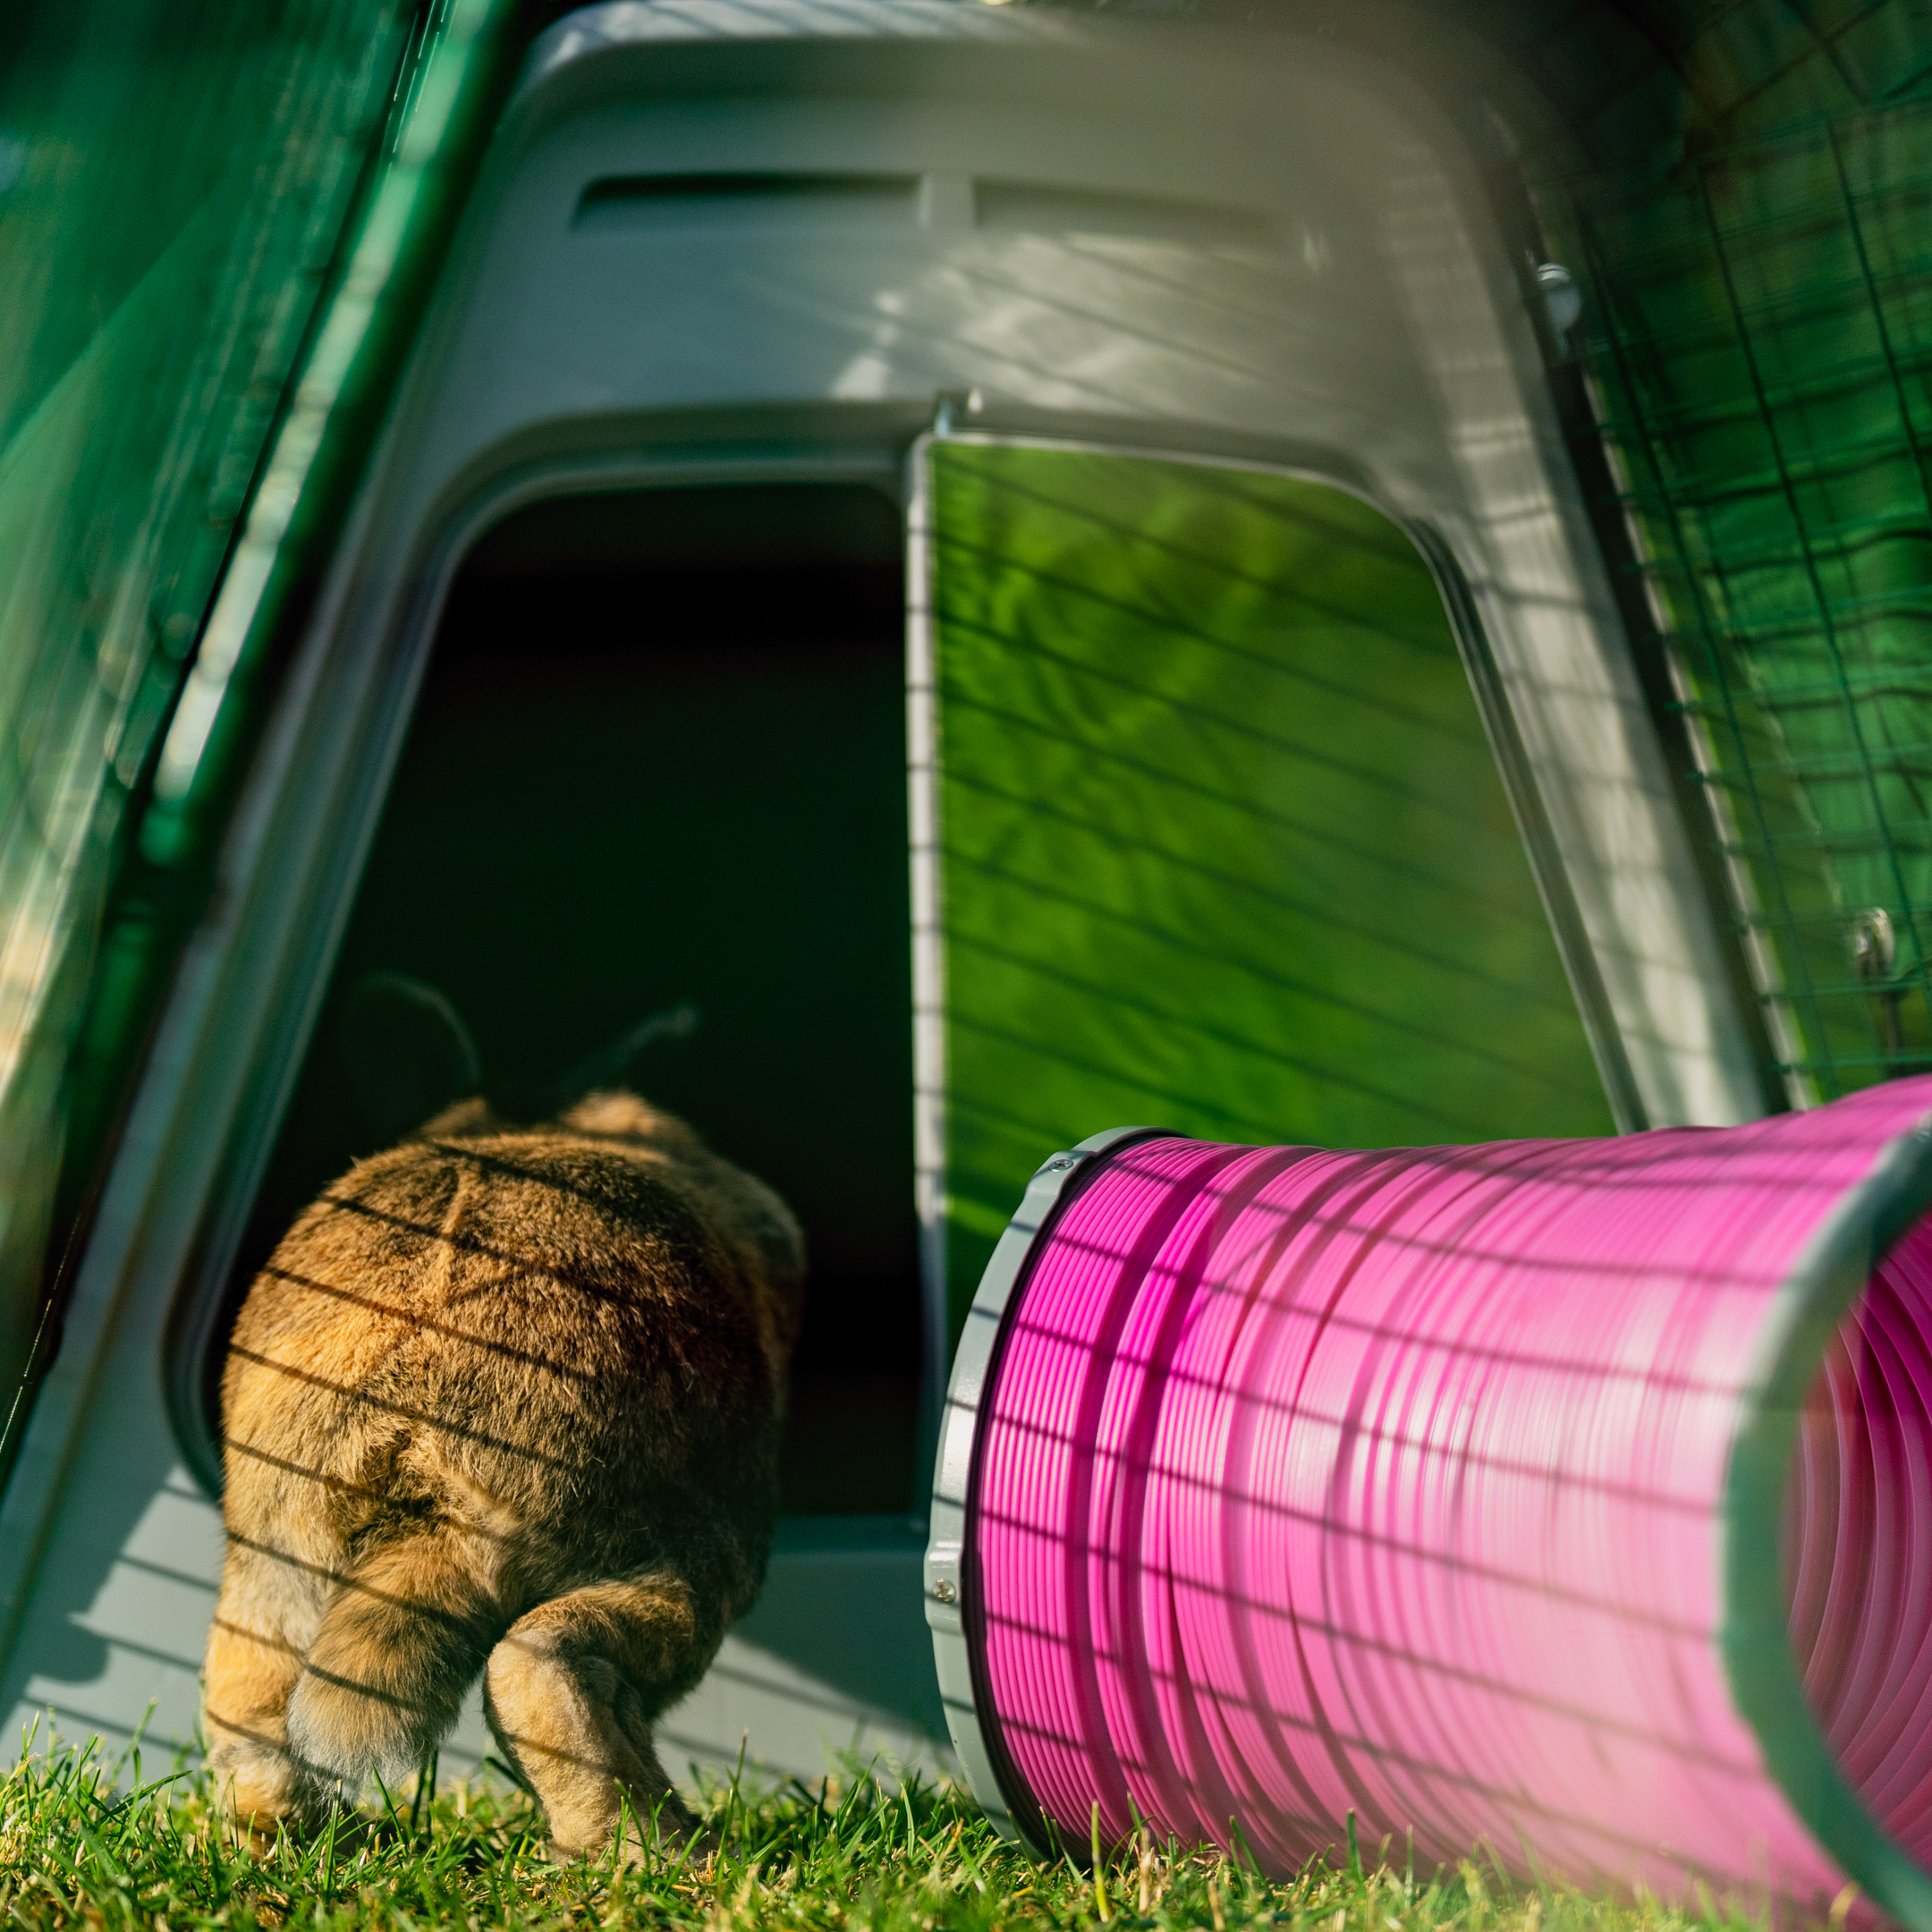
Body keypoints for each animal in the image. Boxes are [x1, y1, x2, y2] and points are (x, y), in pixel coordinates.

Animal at [196, 1089, 800, 1854]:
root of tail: (411, 1438)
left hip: (273, 1565)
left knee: (252, 1723)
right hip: (685, 1561)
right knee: (543, 1662)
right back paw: (669, 1850)